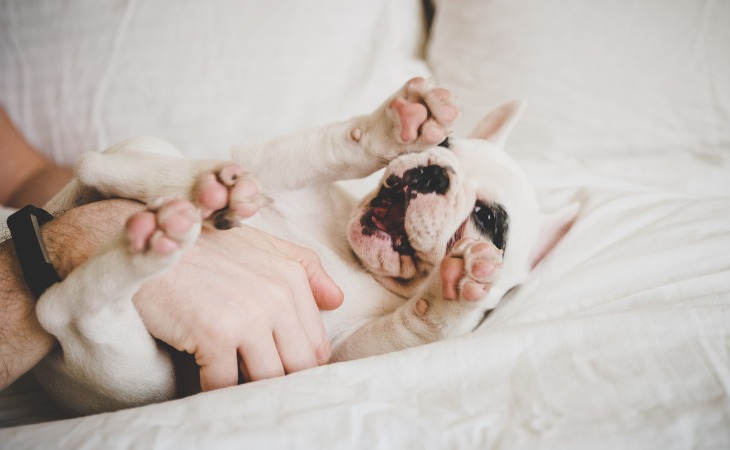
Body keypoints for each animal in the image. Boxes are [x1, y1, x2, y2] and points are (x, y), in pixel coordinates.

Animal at [32, 78, 576, 414]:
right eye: (446, 147)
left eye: (488, 219)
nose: (433, 172)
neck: (356, 259)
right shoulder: (277, 173)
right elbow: (322, 149)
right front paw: (392, 128)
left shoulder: (344, 352)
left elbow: (417, 325)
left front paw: (456, 288)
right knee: (101, 168)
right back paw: (192, 186)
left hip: (130, 374)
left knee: (66, 311)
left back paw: (158, 237)